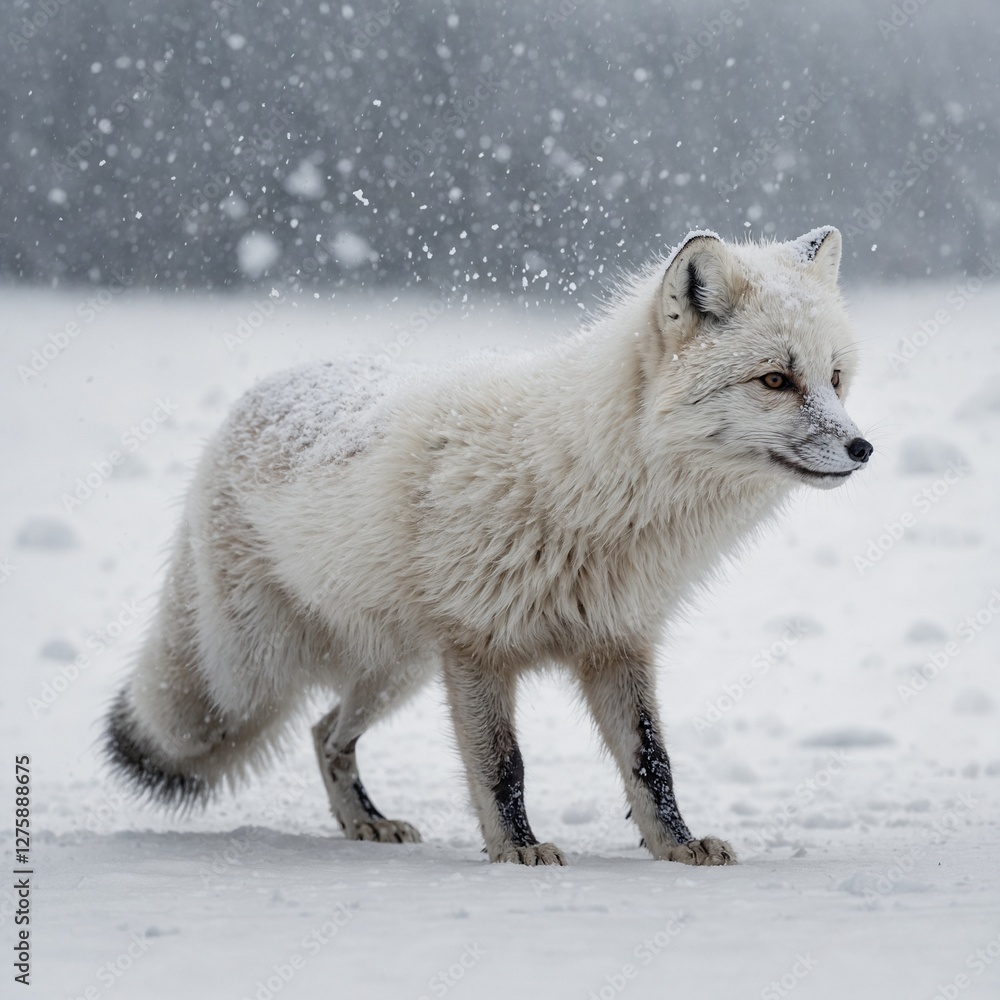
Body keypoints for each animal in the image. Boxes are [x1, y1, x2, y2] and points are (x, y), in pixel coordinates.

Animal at [103, 226, 872, 866]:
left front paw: (675, 846)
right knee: (226, 721)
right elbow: (504, 766)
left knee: (326, 733)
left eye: (834, 378)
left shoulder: (617, 641)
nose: (863, 448)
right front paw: (517, 850)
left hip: (398, 669)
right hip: (254, 676)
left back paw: (366, 822)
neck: (591, 493)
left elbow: (652, 763)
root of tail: (259, 394)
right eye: (775, 379)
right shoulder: (477, 647)